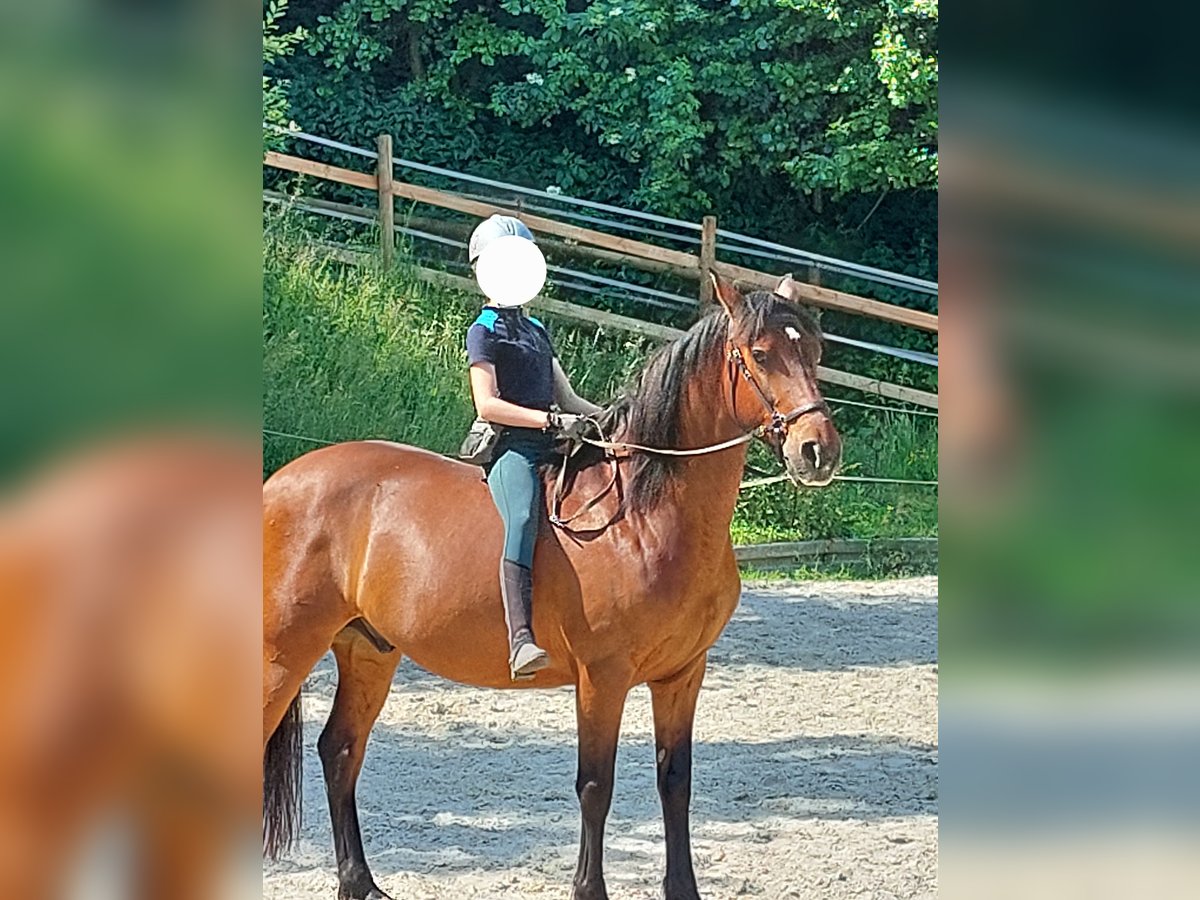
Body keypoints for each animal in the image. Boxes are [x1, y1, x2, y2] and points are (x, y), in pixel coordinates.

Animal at [262, 274, 842, 900]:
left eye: (814, 351)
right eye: (759, 354)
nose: (818, 450)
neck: (640, 515)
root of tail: (280, 481)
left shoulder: (683, 673)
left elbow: (675, 781)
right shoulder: (602, 678)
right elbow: (596, 786)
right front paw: (590, 889)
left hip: (367, 651)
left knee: (340, 750)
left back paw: (360, 882)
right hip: (283, 652)